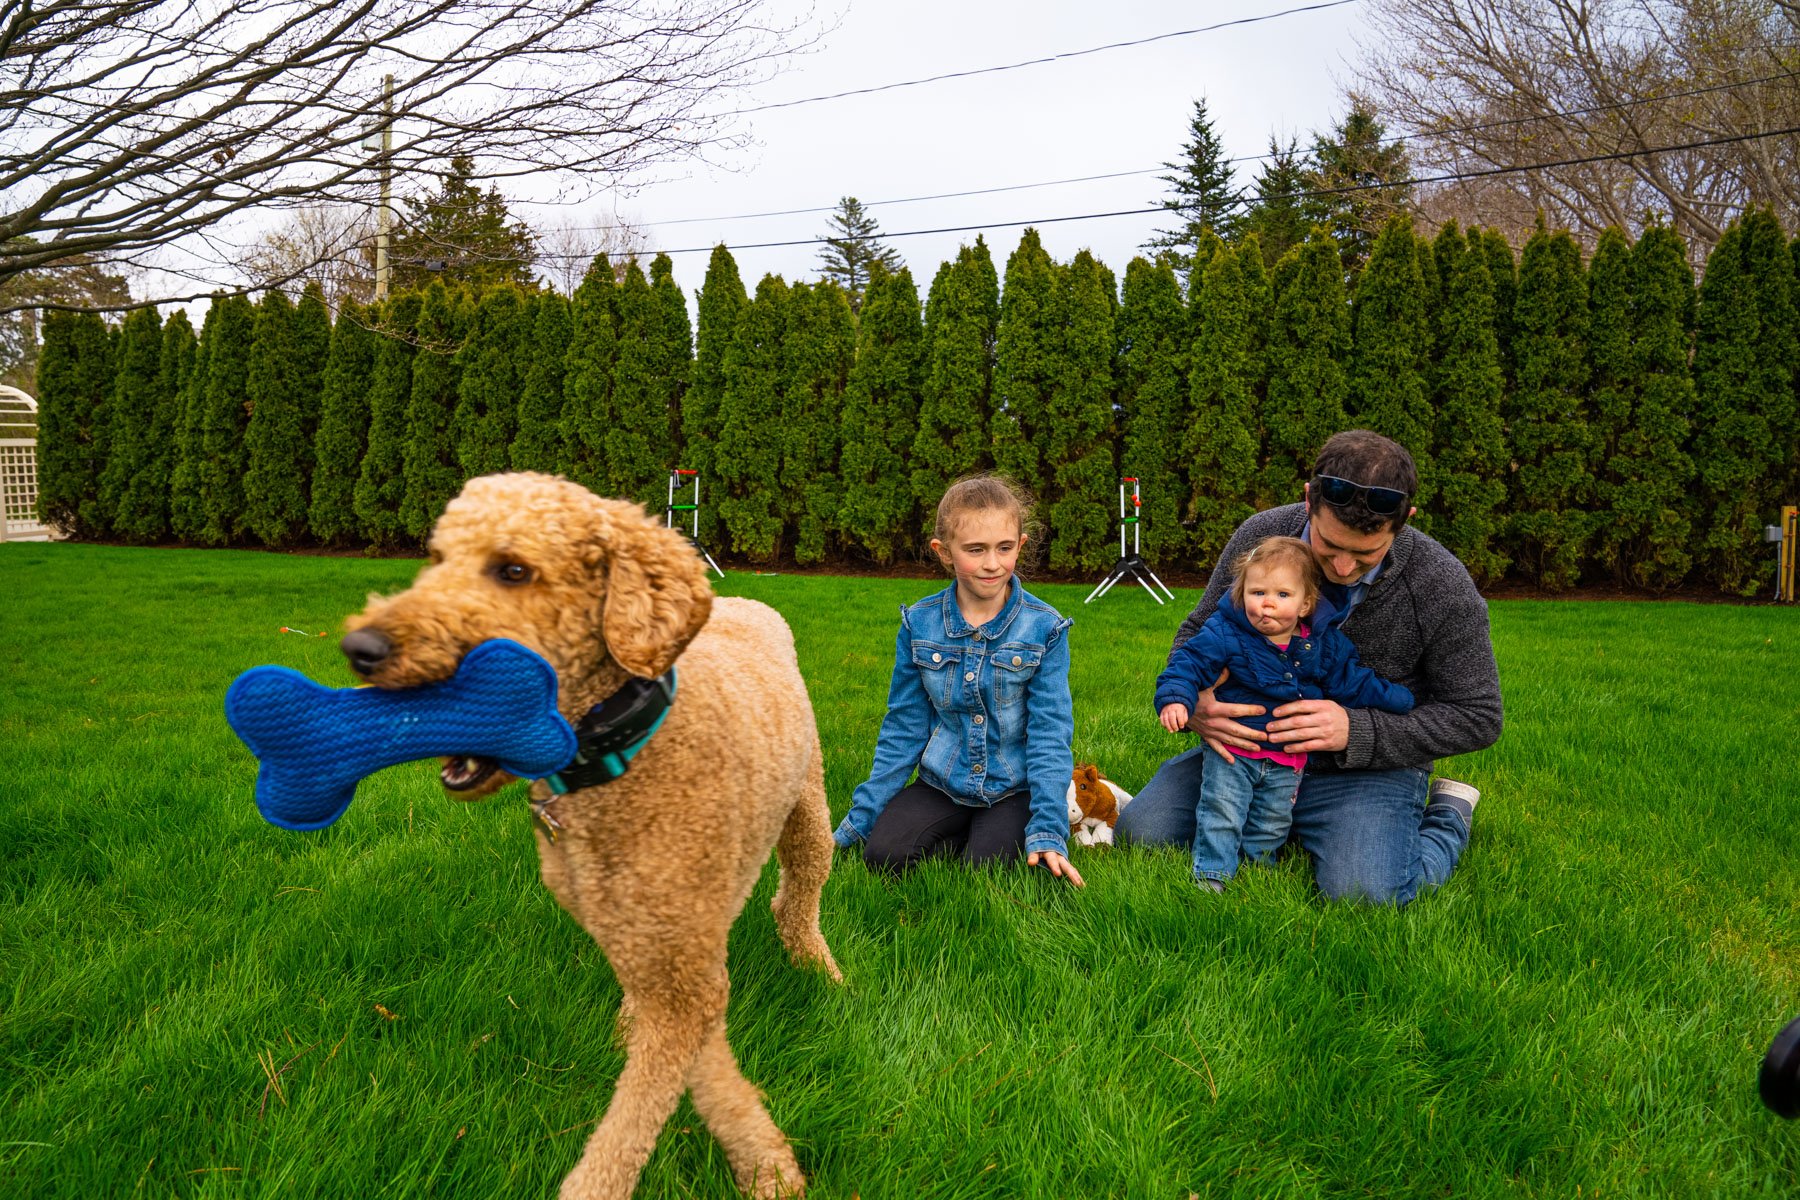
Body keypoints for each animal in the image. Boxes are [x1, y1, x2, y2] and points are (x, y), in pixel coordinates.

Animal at [342, 474, 835, 1194]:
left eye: (514, 570)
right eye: (436, 558)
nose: (362, 649)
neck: (626, 754)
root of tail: (744, 601)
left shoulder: (682, 976)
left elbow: (641, 1112)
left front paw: (767, 1169)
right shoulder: (635, 932)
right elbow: (692, 1055)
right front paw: (764, 1155)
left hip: (808, 811)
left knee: (797, 896)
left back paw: (821, 969)